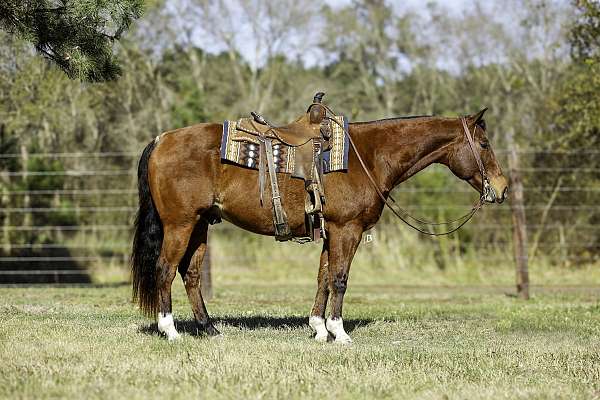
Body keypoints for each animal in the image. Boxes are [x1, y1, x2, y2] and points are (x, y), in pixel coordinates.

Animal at [130, 108, 506, 342]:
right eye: (485, 144)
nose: (502, 188)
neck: (367, 156)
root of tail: (161, 139)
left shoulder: (331, 231)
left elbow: (323, 277)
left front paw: (319, 328)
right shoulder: (347, 229)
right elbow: (339, 278)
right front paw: (339, 333)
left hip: (200, 224)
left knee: (190, 274)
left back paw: (208, 328)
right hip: (179, 224)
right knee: (165, 269)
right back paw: (170, 330)